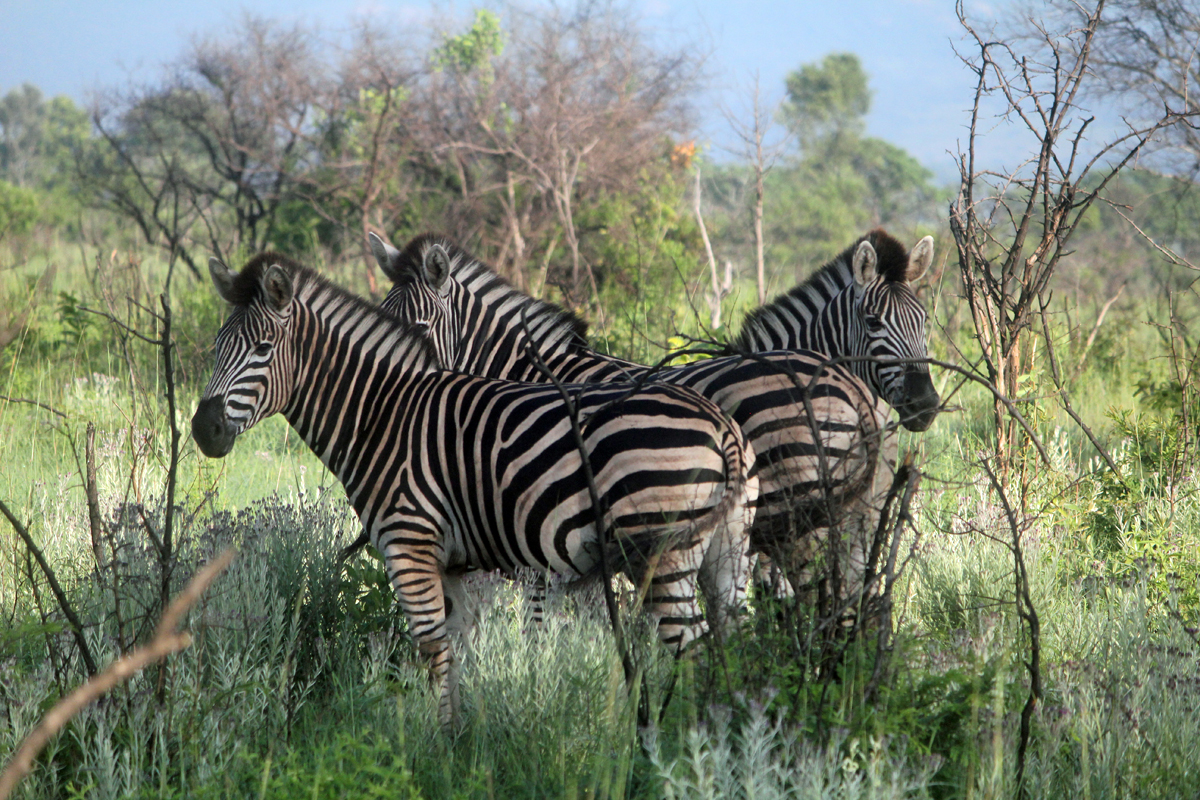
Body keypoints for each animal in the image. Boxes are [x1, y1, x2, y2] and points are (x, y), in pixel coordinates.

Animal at [190, 251, 753, 734]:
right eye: (217, 346)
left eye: (263, 349)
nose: (203, 429)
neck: (383, 414)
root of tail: (721, 424)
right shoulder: (454, 565)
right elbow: (458, 650)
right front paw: (462, 743)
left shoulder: (409, 544)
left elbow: (431, 650)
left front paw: (439, 747)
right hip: (728, 553)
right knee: (733, 647)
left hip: (662, 554)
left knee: (694, 652)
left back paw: (678, 754)